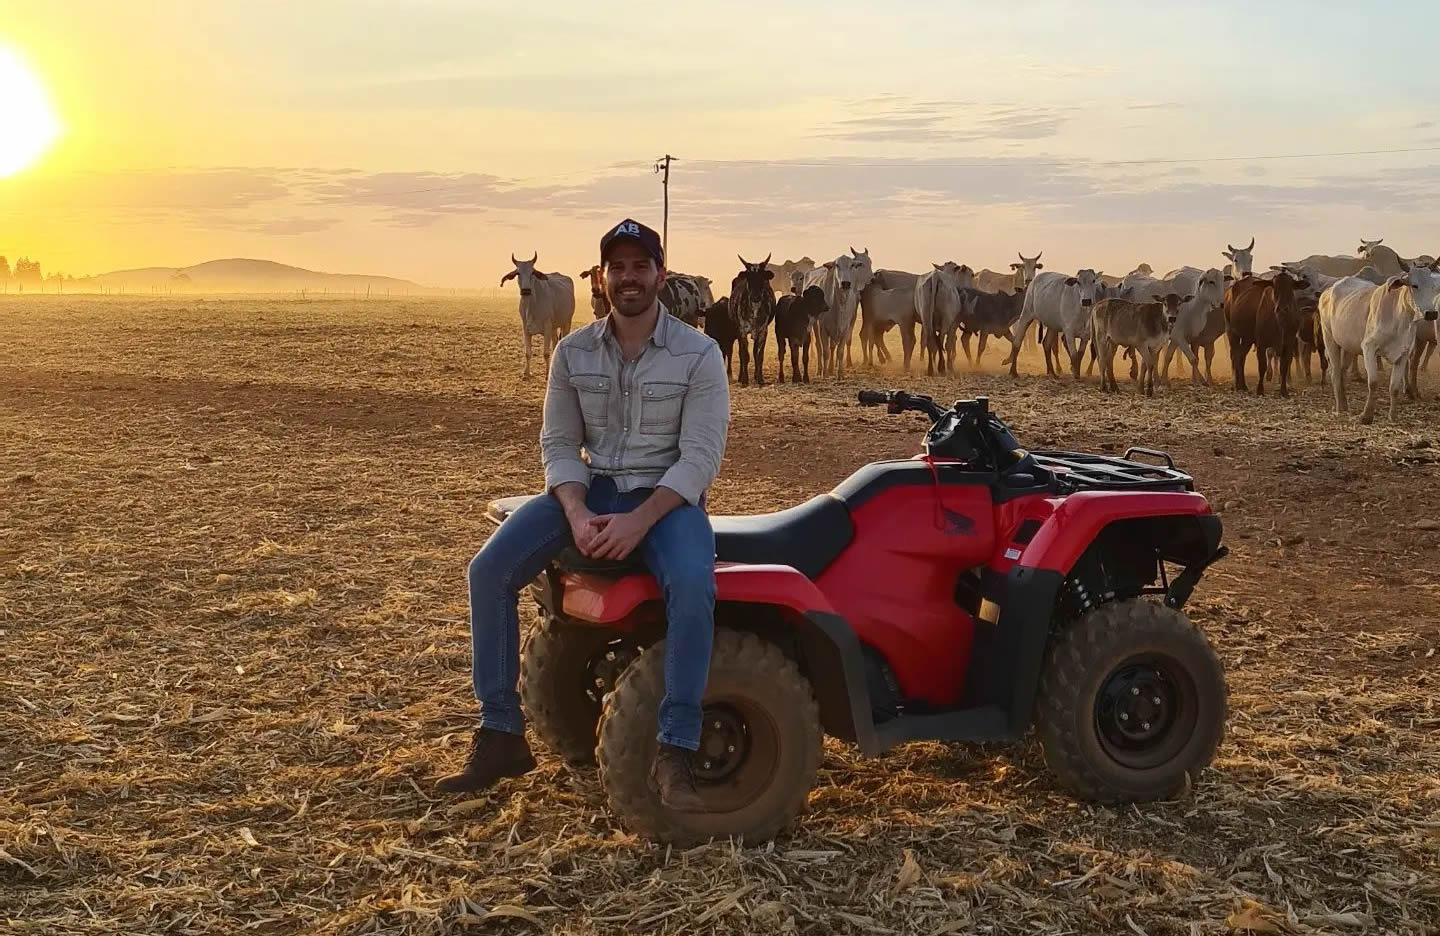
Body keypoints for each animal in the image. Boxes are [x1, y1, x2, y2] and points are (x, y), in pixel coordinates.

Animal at [504, 252, 576, 380]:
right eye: (518, 273)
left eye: (533, 272)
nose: (526, 291)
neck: (532, 306)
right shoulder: (526, 329)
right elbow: (527, 353)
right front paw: (526, 373)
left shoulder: (547, 327)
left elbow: (546, 353)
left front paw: (547, 375)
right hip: (554, 327)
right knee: (555, 343)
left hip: (566, 322)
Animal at [1221, 264, 1313, 394]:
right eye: (1274, 287)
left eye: (1290, 287)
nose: (1281, 308)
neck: (1280, 322)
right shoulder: (1261, 343)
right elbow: (1262, 366)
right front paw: (1260, 389)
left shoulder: (1289, 343)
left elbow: (1284, 366)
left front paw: (1284, 391)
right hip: (1232, 332)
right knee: (1235, 356)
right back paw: (1237, 385)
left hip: (1247, 339)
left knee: (1241, 357)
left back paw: (1242, 385)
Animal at [1319, 264, 1440, 420]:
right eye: (1414, 285)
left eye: (1433, 286)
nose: (1431, 313)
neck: (1398, 319)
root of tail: (1327, 292)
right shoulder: (1368, 348)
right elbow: (1373, 383)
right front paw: (1366, 416)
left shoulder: (1403, 354)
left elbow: (1394, 387)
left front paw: (1393, 416)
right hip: (1329, 338)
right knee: (1335, 372)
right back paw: (1340, 408)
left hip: (1348, 346)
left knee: (1342, 372)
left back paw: (1345, 405)